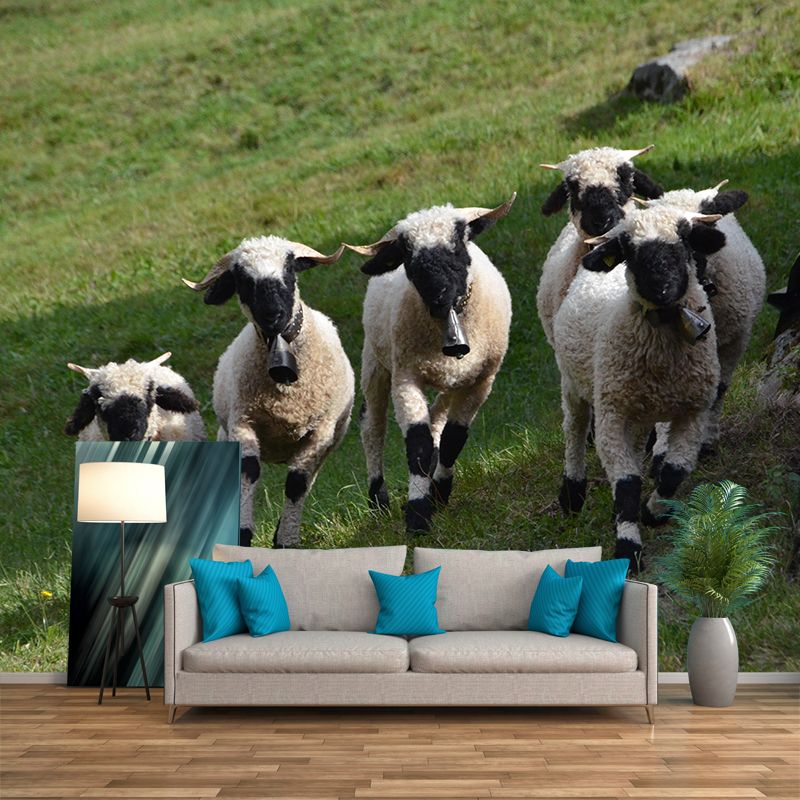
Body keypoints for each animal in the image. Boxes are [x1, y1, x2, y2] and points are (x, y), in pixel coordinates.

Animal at [183, 236, 354, 549]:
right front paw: (242, 536)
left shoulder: (320, 433)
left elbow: (297, 483)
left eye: (289, 270)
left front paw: (285, 542)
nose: (273, 315)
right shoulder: (243, 424)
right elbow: (248, 472)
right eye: (242, 280)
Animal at [345, 195, 515, 534]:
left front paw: (439, 493)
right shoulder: (405, 377)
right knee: (373, 426)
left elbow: (452, 440)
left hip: (455, 381)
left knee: (437, 416)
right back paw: (378, 500)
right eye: (409, 259)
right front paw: (418, 515)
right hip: (376, 360)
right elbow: (419, 447)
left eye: (458, 247)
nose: (439, 295)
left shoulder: (482, 380)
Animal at [552, 204, 728, 571]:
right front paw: (628, 549)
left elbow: (674, 472)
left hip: (635, 407)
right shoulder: (611, 415)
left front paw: (653, 513)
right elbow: (628, 484)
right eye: (629, 251)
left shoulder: (693, 411)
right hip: (575, 383)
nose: (661, 288)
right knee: (574, 429)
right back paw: (572, 493)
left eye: (684, 241)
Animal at [639, 182, 766, 464]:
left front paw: (707, 442)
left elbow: (719, 390)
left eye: (701, 232)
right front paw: (661, 449)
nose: (662, 286)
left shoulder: (735, 341)